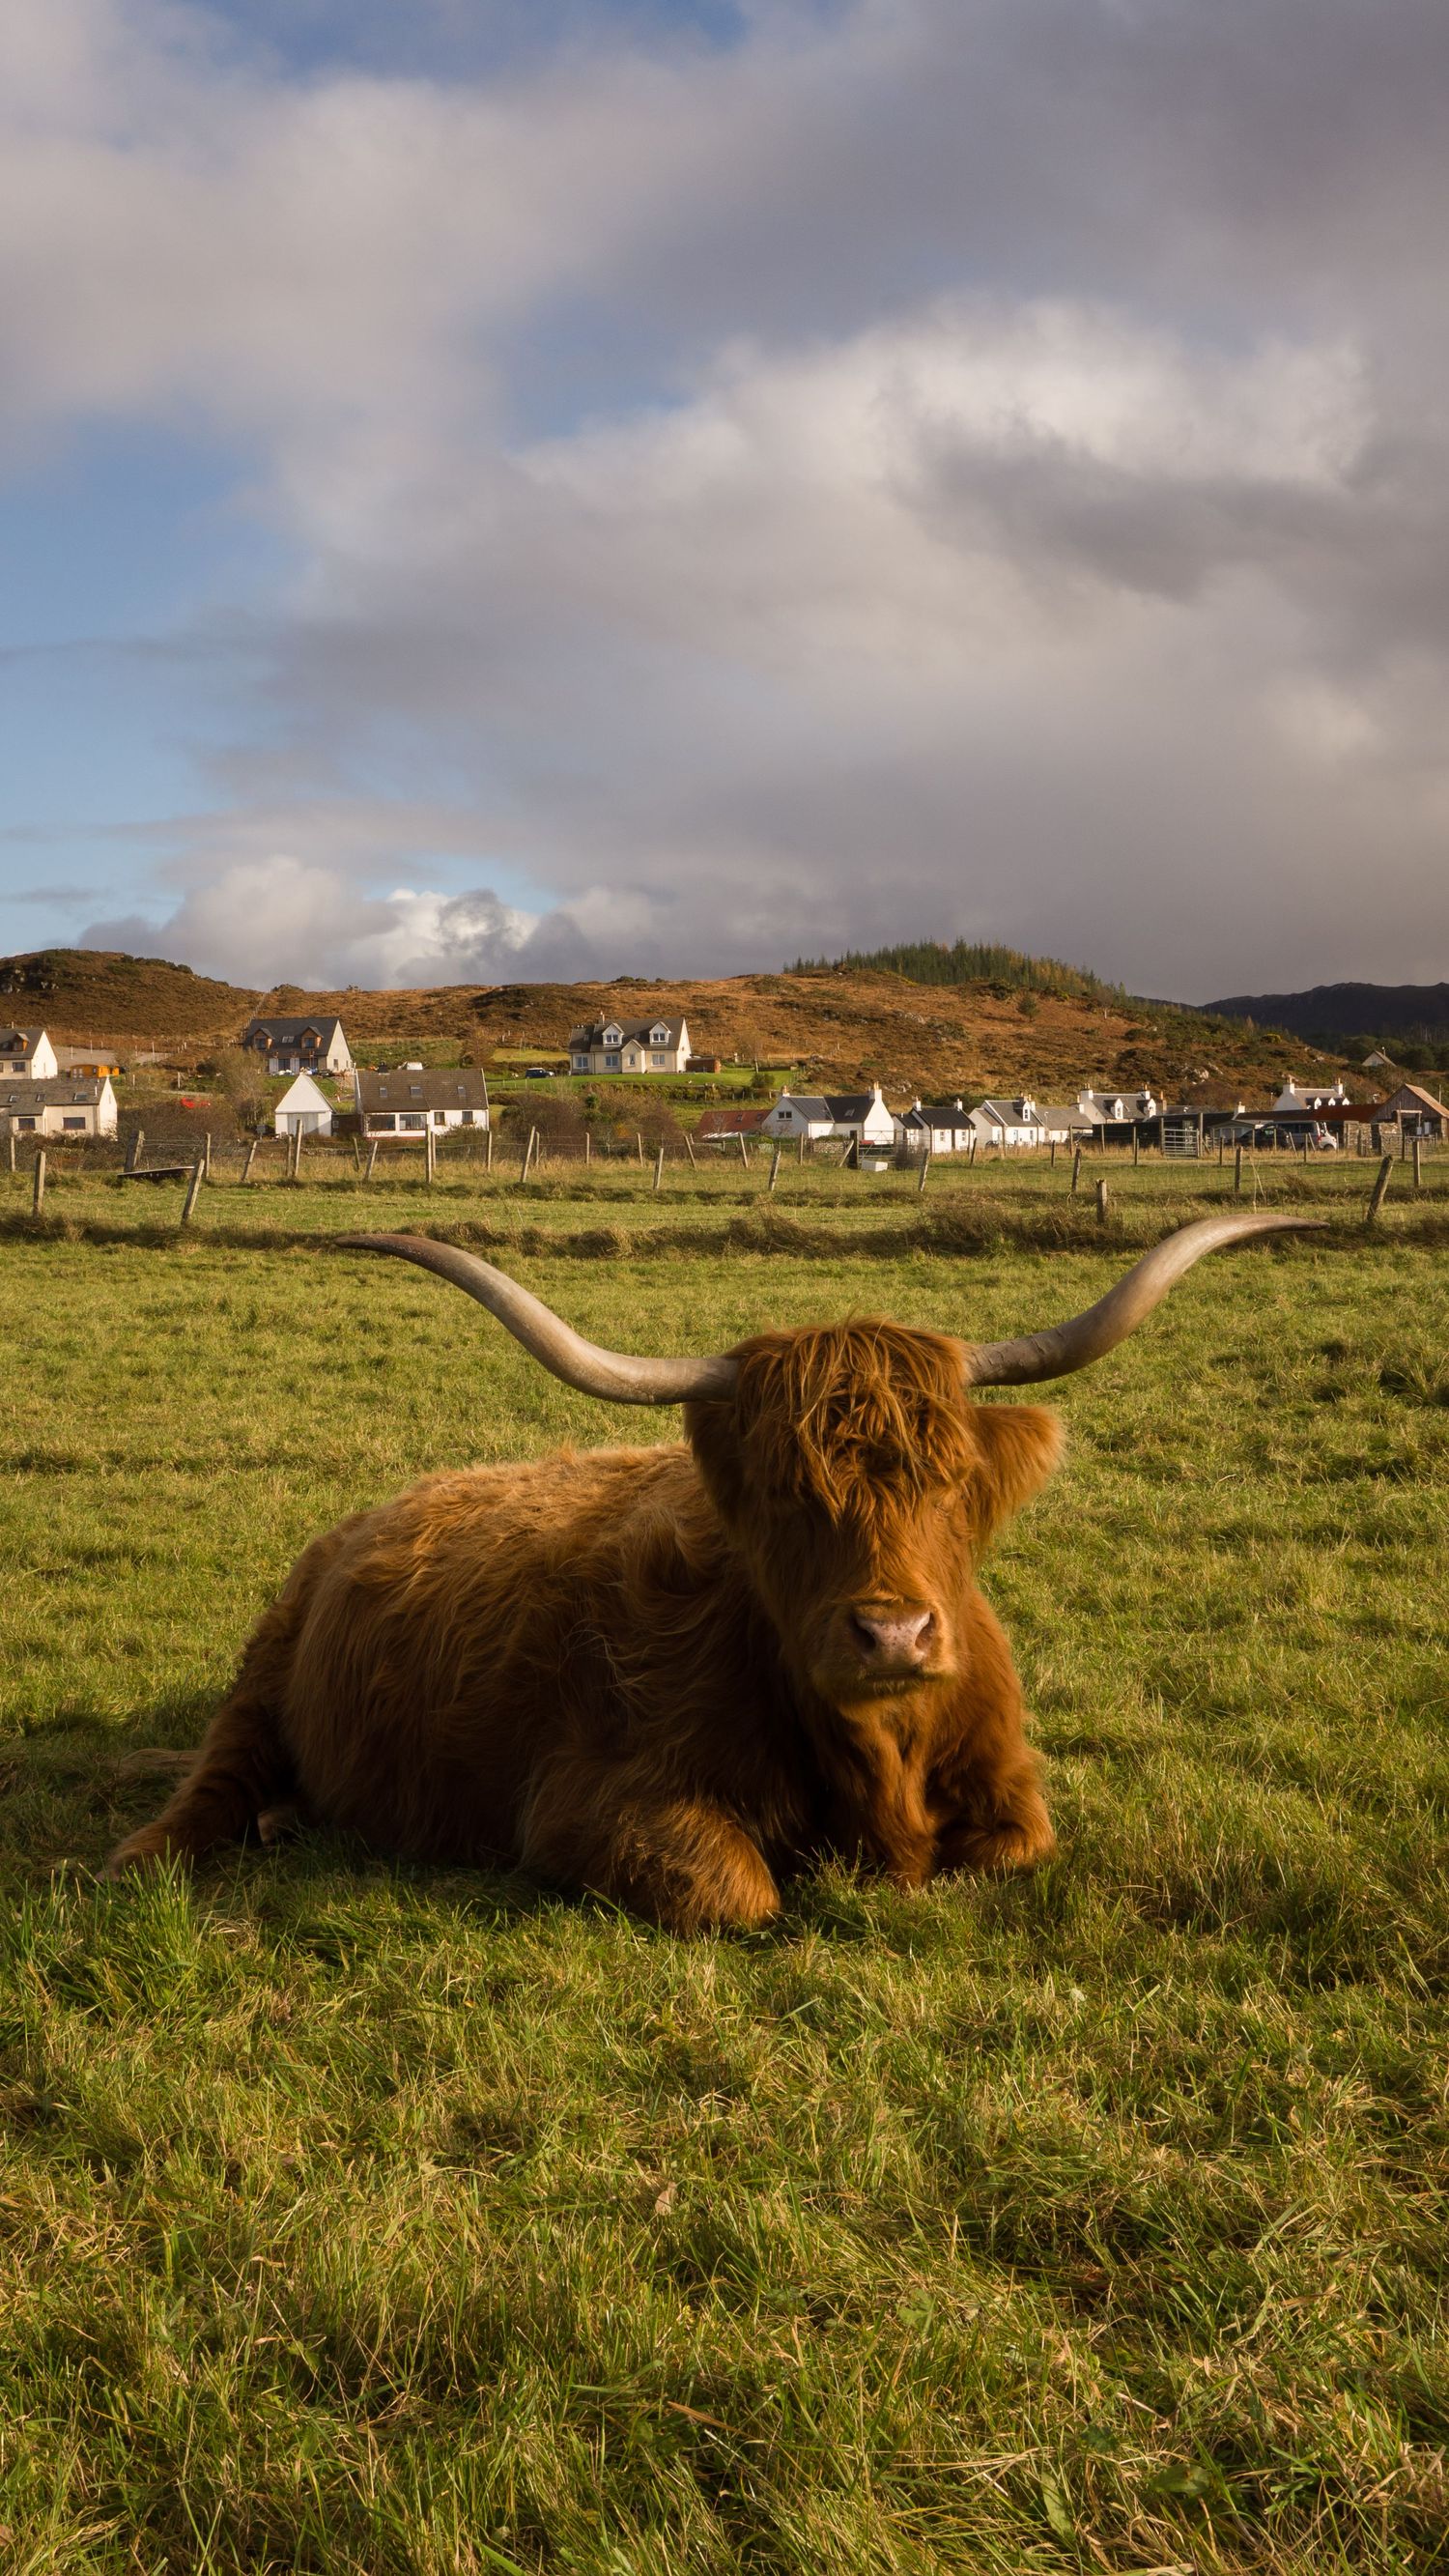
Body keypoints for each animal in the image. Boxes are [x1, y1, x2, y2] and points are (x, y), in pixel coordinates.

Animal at [109, 1213, 1316, 1930]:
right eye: (784, 1494)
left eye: (951, 1480)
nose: (892, 1634)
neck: (881, 1761)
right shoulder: (582, 1803)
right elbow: (744, 1892)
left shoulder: (1012, 1792)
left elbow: (1012, 1849)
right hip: (261, 1670)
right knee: (211, 1783)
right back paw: (153, 1853)